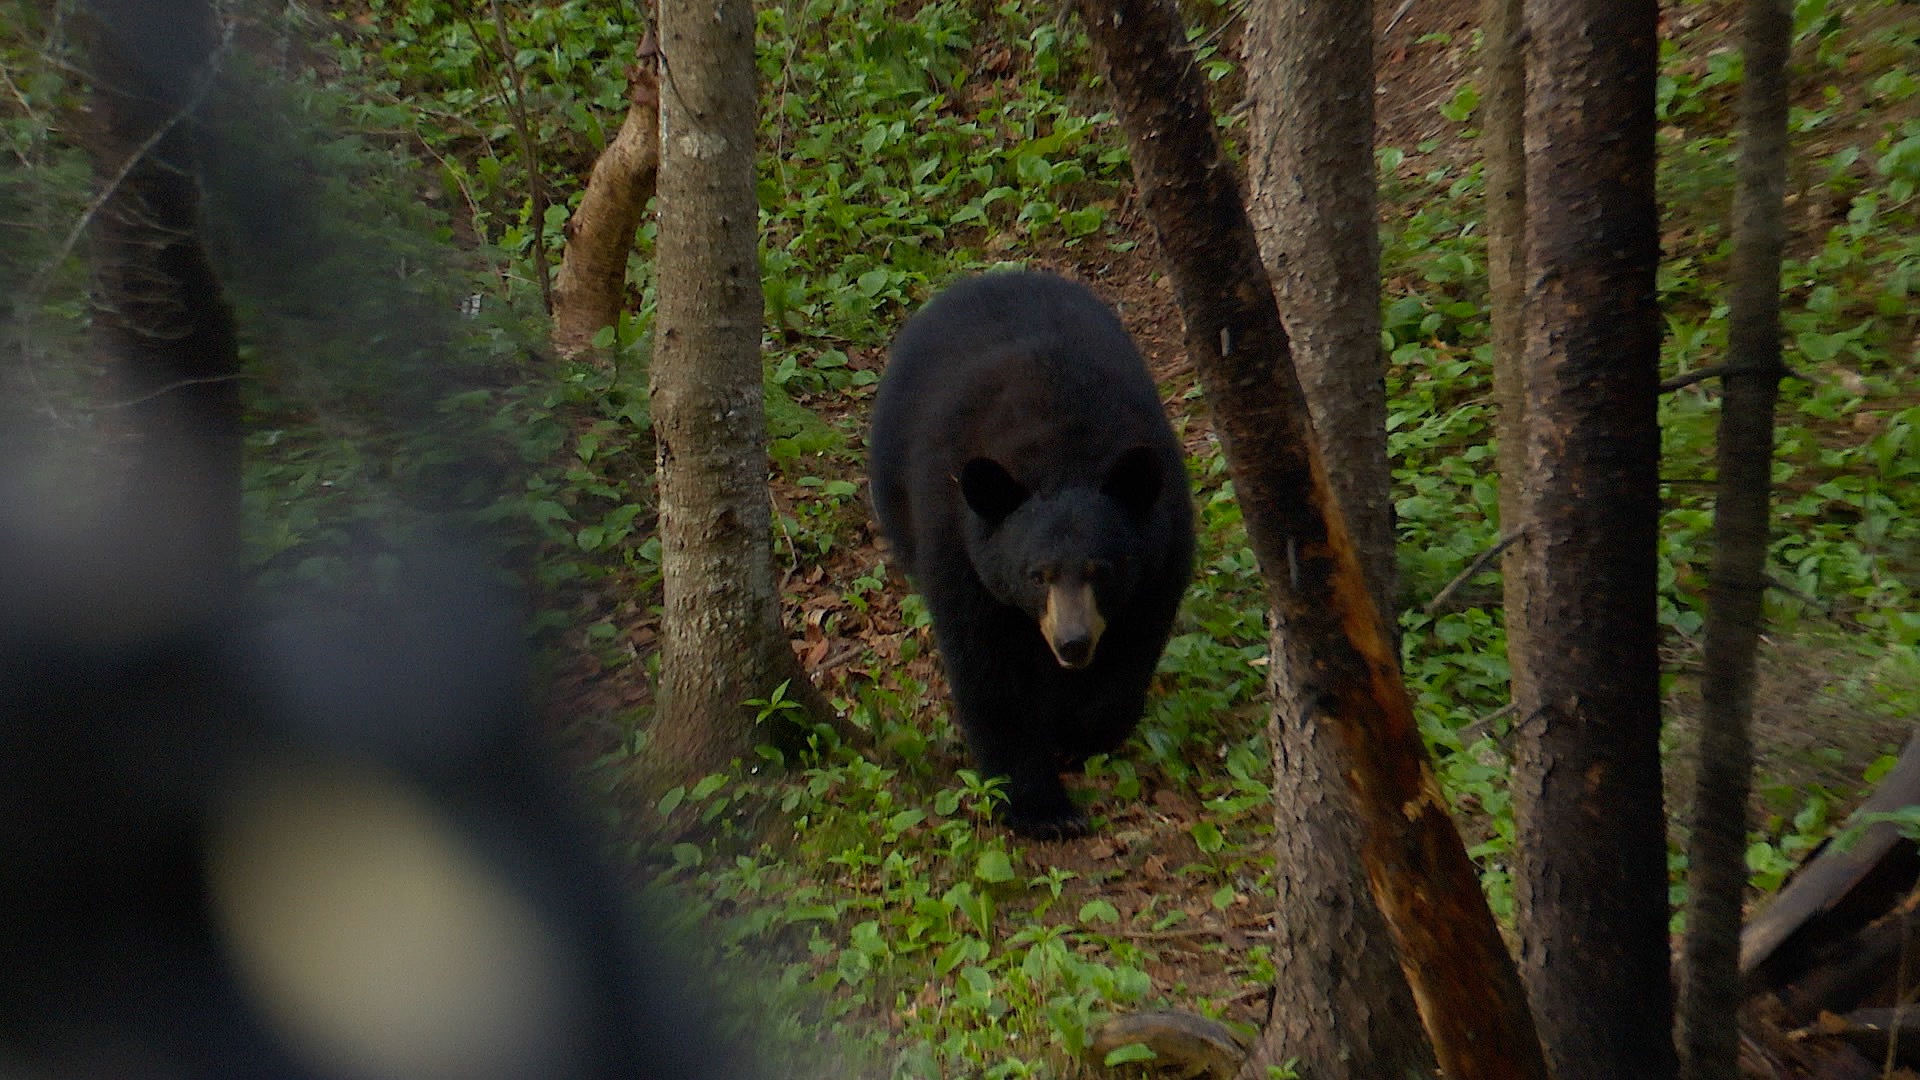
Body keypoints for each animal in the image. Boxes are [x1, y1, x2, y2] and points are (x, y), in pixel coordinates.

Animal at [867, 267, 1182, 834]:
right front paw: (1043, 809)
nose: (1073, 643)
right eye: (1037, 574)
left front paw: (1082, 731)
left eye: (1102, 570)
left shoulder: (1161, 550)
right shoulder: (958, 544)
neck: (1061, 453)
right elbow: (990, 672)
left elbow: (1133, 650)